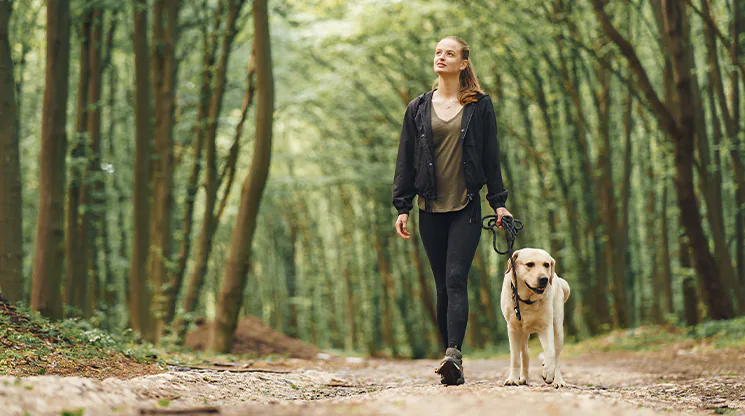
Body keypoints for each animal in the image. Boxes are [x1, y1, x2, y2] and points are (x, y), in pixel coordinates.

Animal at [500, 247, 568, 386]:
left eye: (546, 264)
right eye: (530, 264)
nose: (544, 279)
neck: (527, 300)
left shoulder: (546, 326)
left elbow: (550, 352)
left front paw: (548, 372)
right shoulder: (513, 329)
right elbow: (515, 357)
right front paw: (513, 379)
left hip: (558, 329)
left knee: (556, 356)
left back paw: (558, 380)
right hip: (523, 333)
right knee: (525, 353)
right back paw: (523, 378)